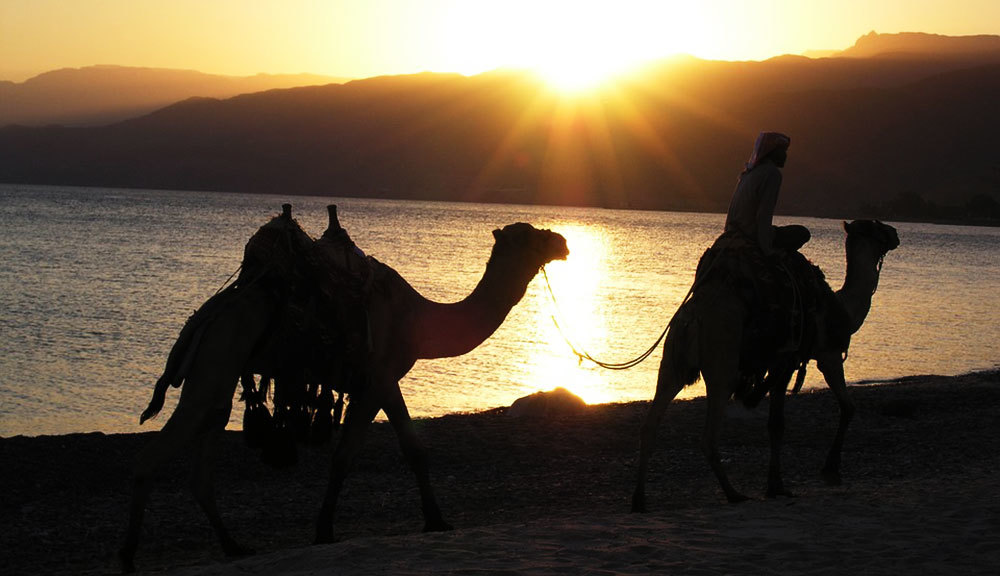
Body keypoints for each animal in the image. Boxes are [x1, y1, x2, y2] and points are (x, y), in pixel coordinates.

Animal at [119, 206, 569, 572]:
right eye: (530, 235)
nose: (562, 242)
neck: (419, 319)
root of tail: (202, 318)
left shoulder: (376, 383)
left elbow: (378, 453)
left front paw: (340, 529)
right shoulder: (380, 377)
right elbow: (377, 452)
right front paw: (423, 521)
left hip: (219, 372)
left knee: (204, 454)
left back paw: (234, 546)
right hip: (216, 360)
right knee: (152, 456)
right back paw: (128, 559)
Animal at [631, 220, 899, 511]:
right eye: (877, 227)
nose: (895, 234)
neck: (843, 308)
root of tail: (694, 315)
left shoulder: (782, 363)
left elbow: (776, 423)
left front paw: (778, 485)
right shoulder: (821, 355)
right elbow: (840, 409)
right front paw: (825, 473)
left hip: (672, 362)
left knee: (650, 424)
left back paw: (640, 500)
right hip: (722, 361)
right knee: (708, 434)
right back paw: (733, 493)